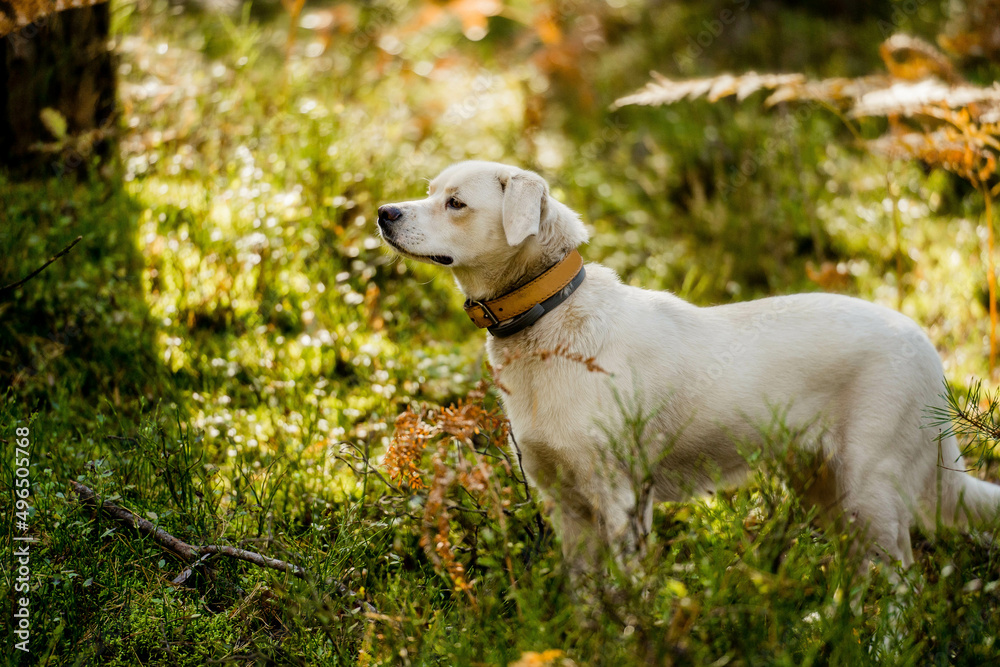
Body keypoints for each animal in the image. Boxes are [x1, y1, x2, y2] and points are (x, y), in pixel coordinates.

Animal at [376, 160, 1000, 568]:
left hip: (871, 489)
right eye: (429, 191)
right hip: (826, 487)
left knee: (901, 586)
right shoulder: (567, 507)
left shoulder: (621, 500)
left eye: (456, 202)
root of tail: (926, 347)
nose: (384, 212)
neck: (548, 323)